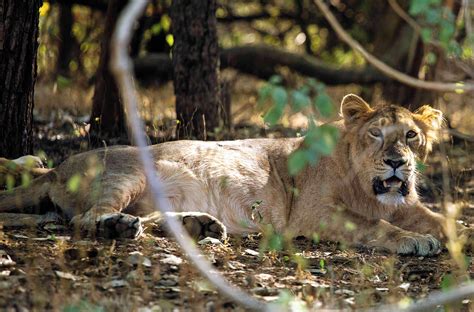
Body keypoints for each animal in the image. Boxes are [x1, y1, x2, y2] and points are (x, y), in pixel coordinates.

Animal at [0, 94, 470, 255]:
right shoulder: (313, 214)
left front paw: (457, 235)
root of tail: (57, 167)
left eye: (411, 135)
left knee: (147, 218)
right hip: (129, 170)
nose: (397, 162)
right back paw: (118, 226)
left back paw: (201, 225)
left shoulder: (406, 204)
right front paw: (414, 241)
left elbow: (441, 219)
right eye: (375, 134)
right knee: (85, 218)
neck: (370, 190)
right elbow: (376, 226)